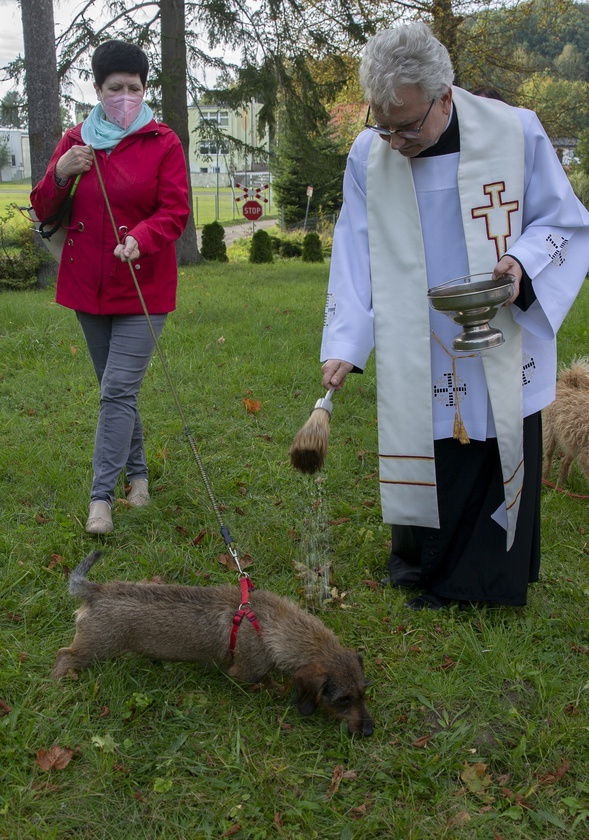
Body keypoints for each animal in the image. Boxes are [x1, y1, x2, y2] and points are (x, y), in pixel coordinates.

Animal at [51, 552, 372, 736]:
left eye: (363, 693)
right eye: (343, 700)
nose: (369, 731)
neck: (271, 625)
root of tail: (96, 590)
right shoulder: (245, 673)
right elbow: (262, 681)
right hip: (94, 647)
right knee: (64, 655)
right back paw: (62, 680)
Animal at [540, 354, 588, 486]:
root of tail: (566, 381)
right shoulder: (585, 456)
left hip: (572, 441)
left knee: (565, 461)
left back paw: (561, 484)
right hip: (549, 432)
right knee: (548, 457)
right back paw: (546, 479)